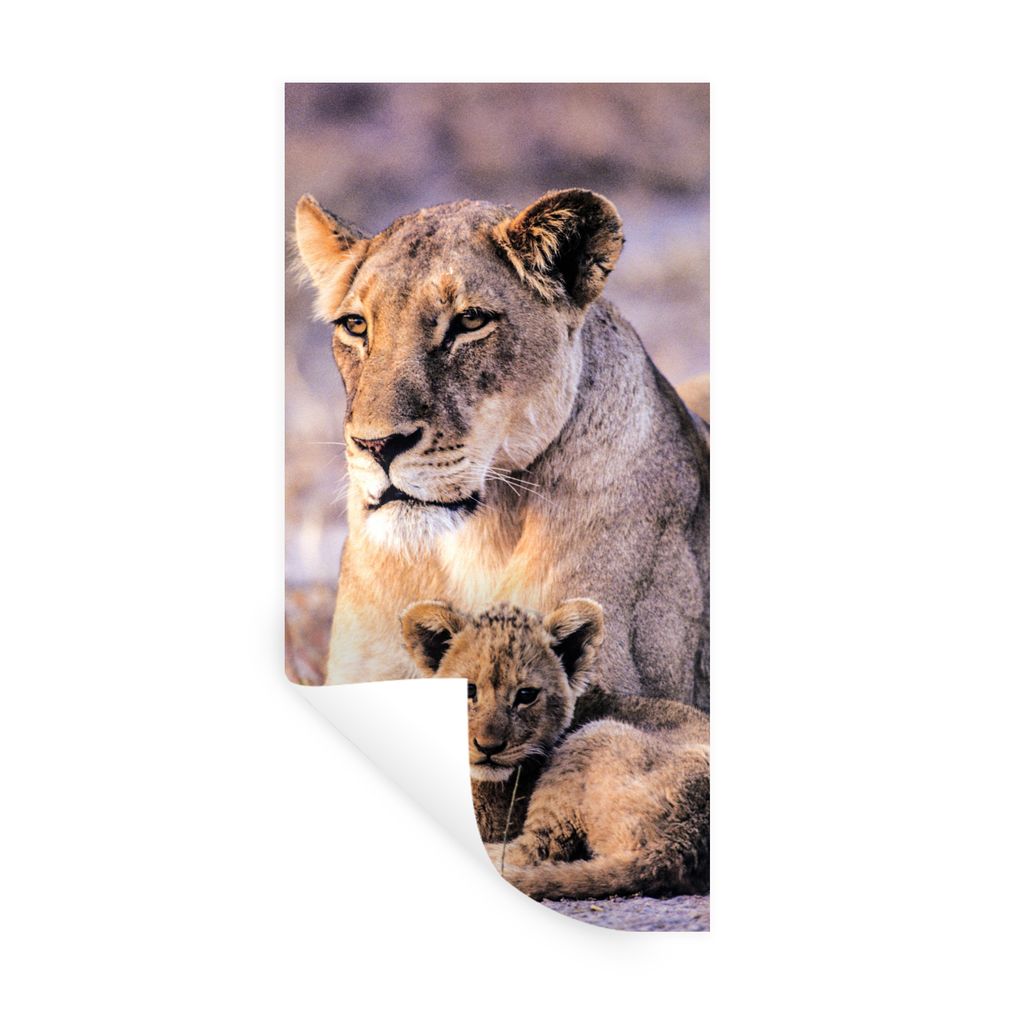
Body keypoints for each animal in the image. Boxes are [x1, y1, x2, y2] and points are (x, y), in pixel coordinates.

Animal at [401, 598, 710, 901]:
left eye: (526, 695)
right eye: (468, 690)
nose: (488, 748)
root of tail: (679, 845)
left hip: (589, 740)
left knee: (537, 849)